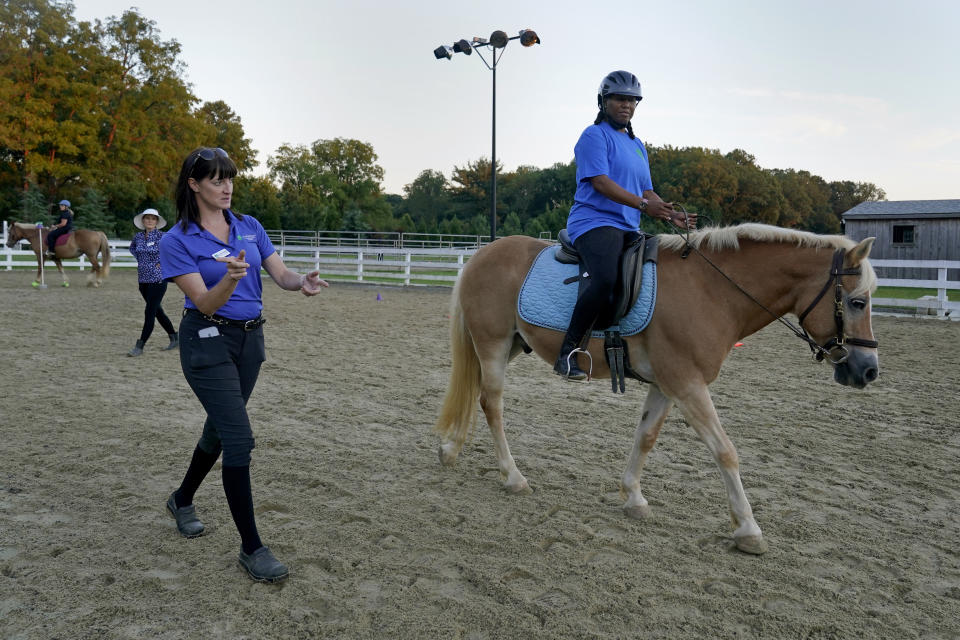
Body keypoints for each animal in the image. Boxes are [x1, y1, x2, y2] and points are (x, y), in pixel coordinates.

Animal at [434, 225, 876, 556]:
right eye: (857, 302)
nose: (869, 370)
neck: (711, 290)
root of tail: (481, 254)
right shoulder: (687, 383)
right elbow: (725, 451)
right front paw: (748, 529)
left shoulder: (668, 383)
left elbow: (645, 437)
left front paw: (633, 497)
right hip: (492, 344)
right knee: (491, 403)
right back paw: (512, 476)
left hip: (508, 345)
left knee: (474, 394)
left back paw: (450, 449)